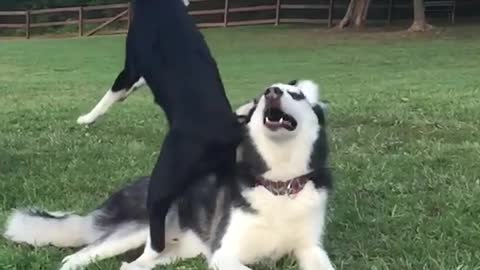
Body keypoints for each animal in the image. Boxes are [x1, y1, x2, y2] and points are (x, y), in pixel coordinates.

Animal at [3, 80, 334, 270]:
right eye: (262, 96)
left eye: (297, 95)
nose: (271, 93)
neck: (280, 185)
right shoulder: (223, 252)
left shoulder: (311, 248)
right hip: (144, 228)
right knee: (75, 258)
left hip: (177, 250)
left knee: (131, 267)